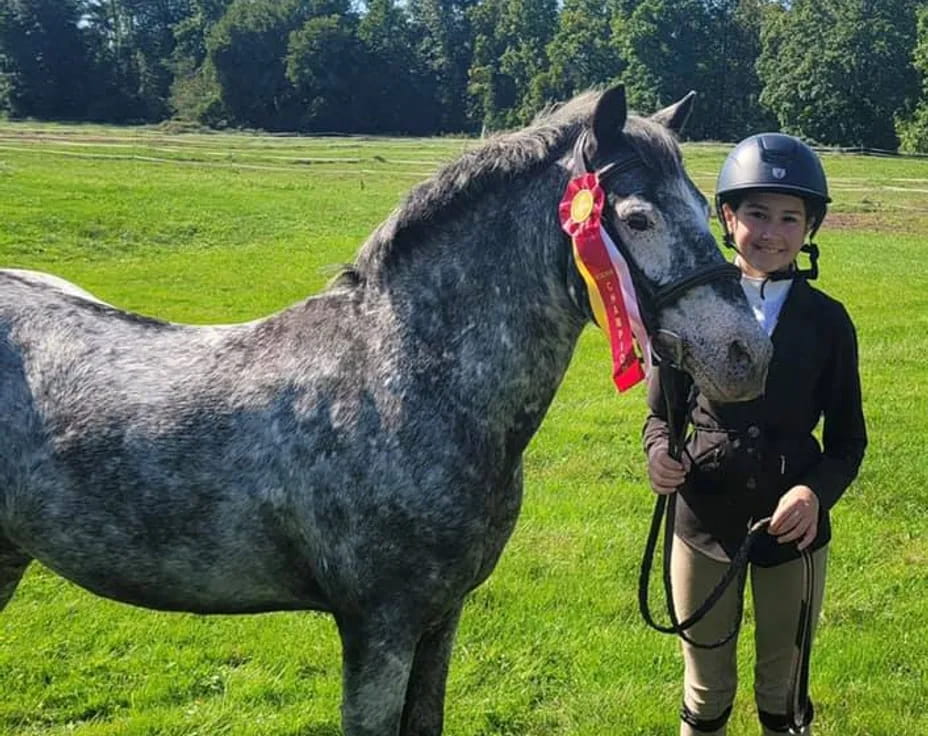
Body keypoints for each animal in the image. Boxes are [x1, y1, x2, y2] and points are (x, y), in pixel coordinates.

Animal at [0, 85, 768, 732]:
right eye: (636, 219)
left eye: (705, 208)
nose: (745, 353)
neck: (402, 383)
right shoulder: (380, 626)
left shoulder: (440, 618)